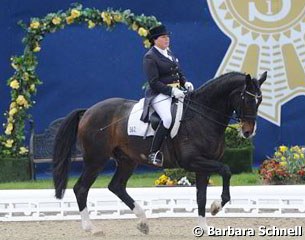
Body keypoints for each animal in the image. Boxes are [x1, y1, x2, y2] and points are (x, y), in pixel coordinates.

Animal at [52, 71, 266, 234]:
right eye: (246, 98)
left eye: (260, 100)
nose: (249, 131)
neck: (202, 116)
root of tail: (88, 111)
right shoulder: (193, 161)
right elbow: (226, 170)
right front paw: (216, 207)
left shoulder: (202, 165)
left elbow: (201, 196)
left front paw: (203, 228)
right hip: (96, 159)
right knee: (81, 188)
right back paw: (91, 228)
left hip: (127, 160)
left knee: (116, 186)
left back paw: (143, 222)